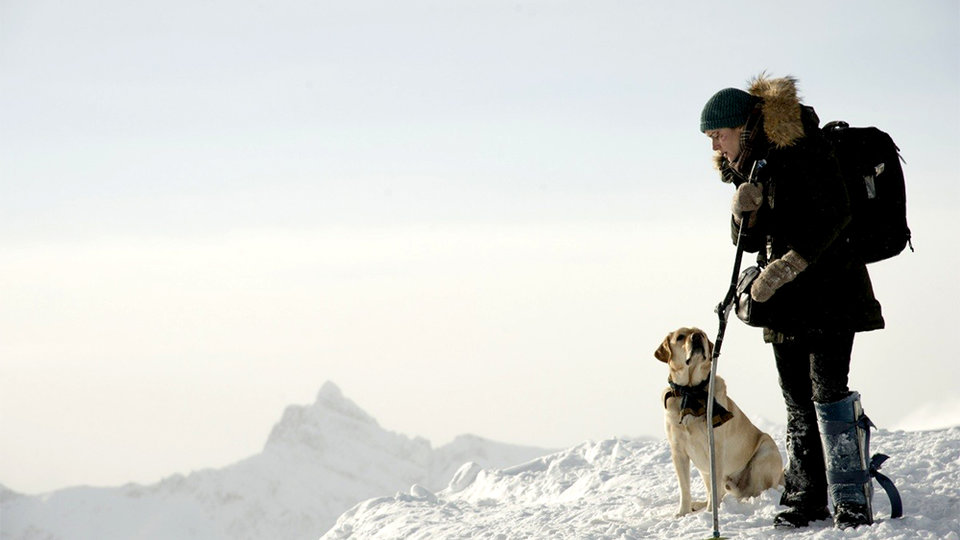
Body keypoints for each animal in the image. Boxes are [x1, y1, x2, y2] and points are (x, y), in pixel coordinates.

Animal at [652, 326, 780, 516]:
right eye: (680, 337)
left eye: (702, 333)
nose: (697, 336)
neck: (691, 392)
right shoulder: (678, 451)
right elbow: (684, 488)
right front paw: (683, 513)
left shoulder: (716, 448)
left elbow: (714, 486)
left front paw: (711, 512)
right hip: (705, 470)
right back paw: (698, 504)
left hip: (764, 452)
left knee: (755, 491)